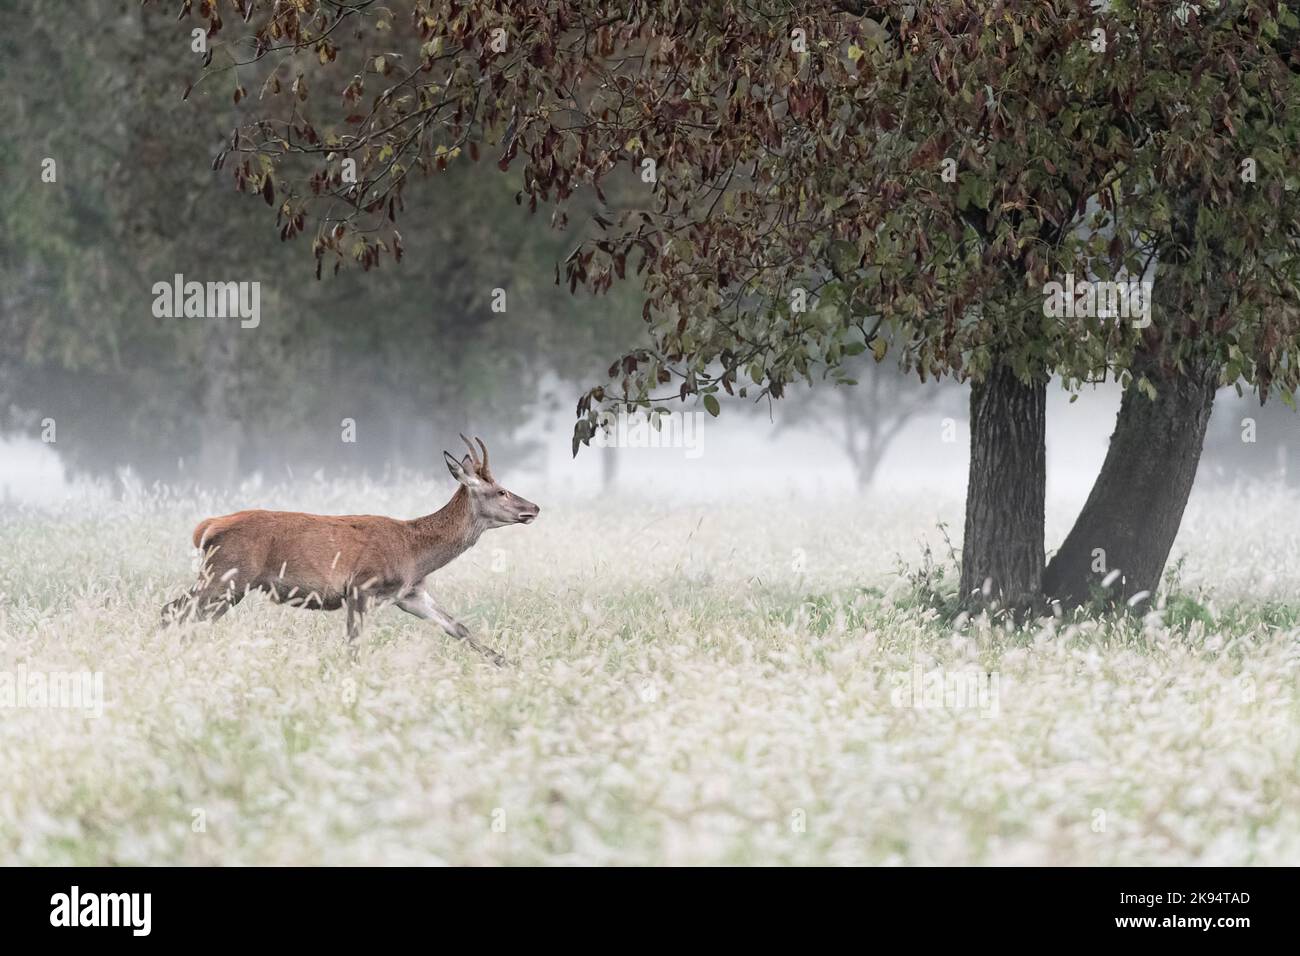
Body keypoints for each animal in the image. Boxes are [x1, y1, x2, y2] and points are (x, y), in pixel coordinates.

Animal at [162, 434, 538, 665]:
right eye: (501, 491)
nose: (534, 507)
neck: (416, 553)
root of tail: (206, 528)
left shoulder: (410, 594)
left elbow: (458, 628)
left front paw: (512, 665)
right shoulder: (361, 586)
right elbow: (354, 644)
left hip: (225, 581)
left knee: (184, 613)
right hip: (228, 575)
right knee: (173, 610)